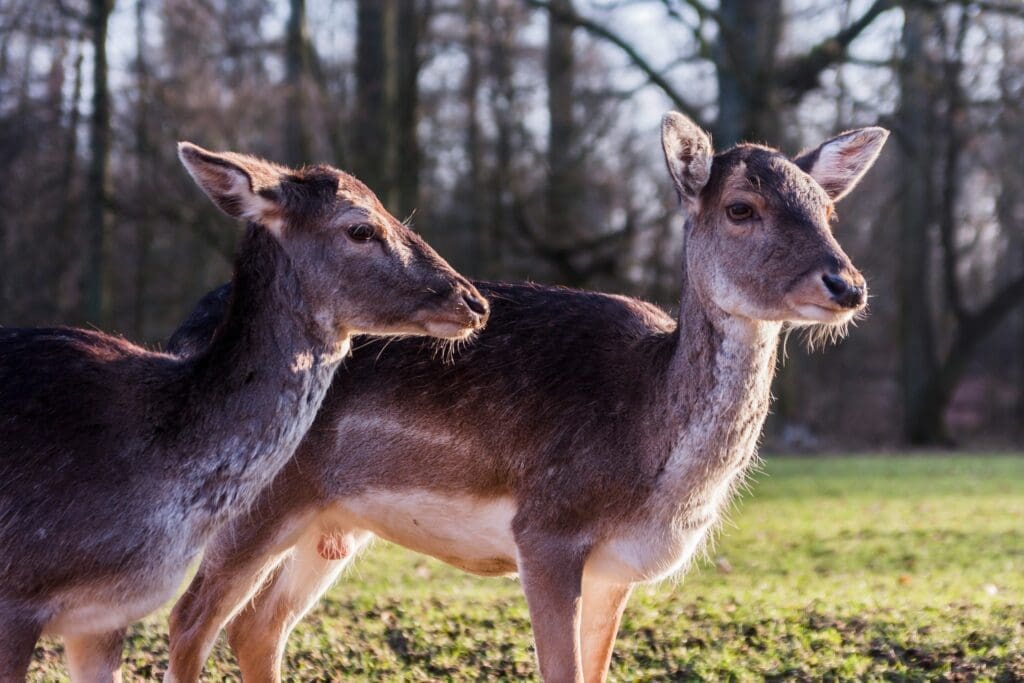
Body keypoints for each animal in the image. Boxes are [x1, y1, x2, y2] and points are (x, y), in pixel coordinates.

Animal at [163, 113, 884, 683]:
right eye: (740, 207)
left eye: (829, 210)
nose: (846, 284)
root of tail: (184, 337)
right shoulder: (547, 530)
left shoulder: (614, 571)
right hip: (255, 501)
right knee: (189, 619)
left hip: (329, 524)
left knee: (256, 627)